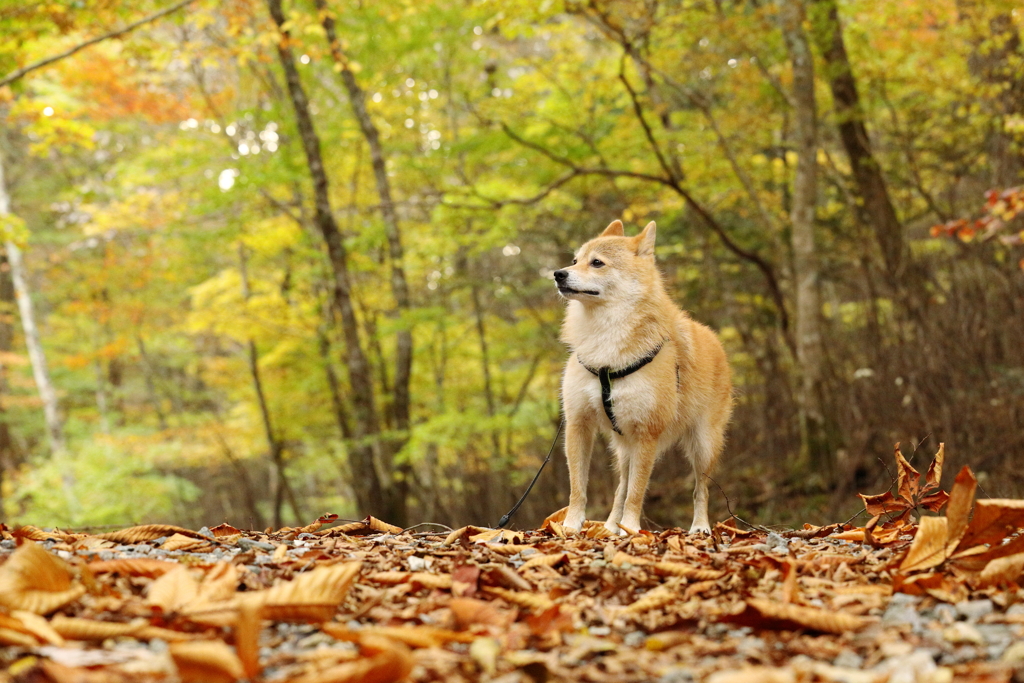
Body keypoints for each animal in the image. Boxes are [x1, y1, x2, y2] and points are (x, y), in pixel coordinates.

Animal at [557, 219, 733, 532]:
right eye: (575, 261)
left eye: (597, 263)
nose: (557, 274)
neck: (606, 342)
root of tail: (714, 339)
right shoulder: (578, 425)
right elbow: (578, 486)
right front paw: (572, 526)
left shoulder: (647, 433)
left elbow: (637, 492)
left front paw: (631, 528)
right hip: (623, 448)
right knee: (621, 485)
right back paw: (610, 526)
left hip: (703, 444)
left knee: (701, 488)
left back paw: (699, 526)